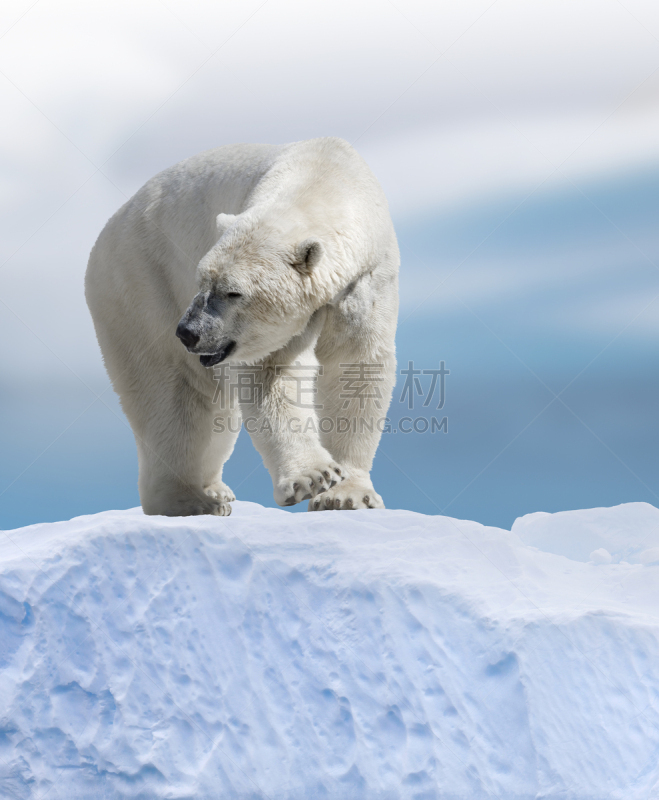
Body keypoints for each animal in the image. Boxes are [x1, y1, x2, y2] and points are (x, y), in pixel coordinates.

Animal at [85, 138, 400, 516]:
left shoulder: (364, 283)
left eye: (233, 292)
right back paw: (190, 502)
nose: (188, 332)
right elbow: (271, 373)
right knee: (172, 391)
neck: (325, 172)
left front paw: (345, 496)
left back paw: (214, 490)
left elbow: (354, 368)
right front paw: (314, 477)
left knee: (212, 402)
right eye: (202, 281)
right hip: (141, 283)